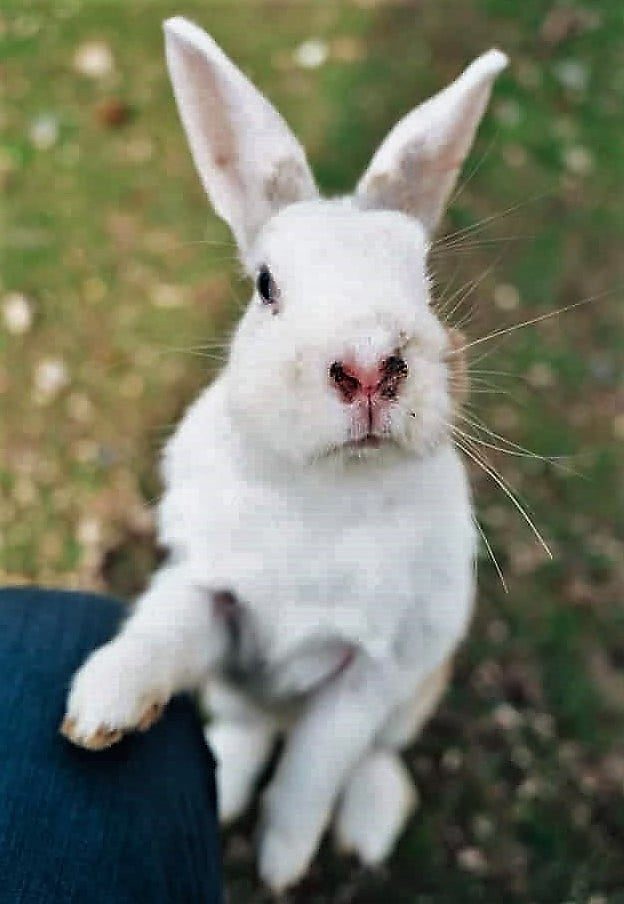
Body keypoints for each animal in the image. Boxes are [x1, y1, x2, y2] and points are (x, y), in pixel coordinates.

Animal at [60, 16, 507, 893]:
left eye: (426, 284)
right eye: (266, 286)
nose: (368, 365)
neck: (325, 490)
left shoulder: (368, 672)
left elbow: (312, 771)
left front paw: (280, 863)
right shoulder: (214, 596)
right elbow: (161, 634)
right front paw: (99, 708)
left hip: (416, 689)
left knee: (371, 760)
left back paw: (364, 828)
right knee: (246, 728)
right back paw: (222, 787)